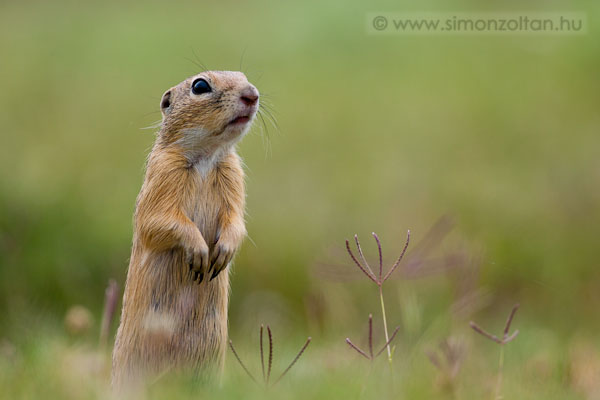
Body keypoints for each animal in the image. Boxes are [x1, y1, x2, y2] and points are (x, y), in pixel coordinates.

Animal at [112, 71, 258, 388]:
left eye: (244, 76)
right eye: (200, 85)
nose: (252, 94)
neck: (207, 156)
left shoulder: (234, 175)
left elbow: (236, 222)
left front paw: (223, 251)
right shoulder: (163, 175)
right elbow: (158, 222)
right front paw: (199, 252)